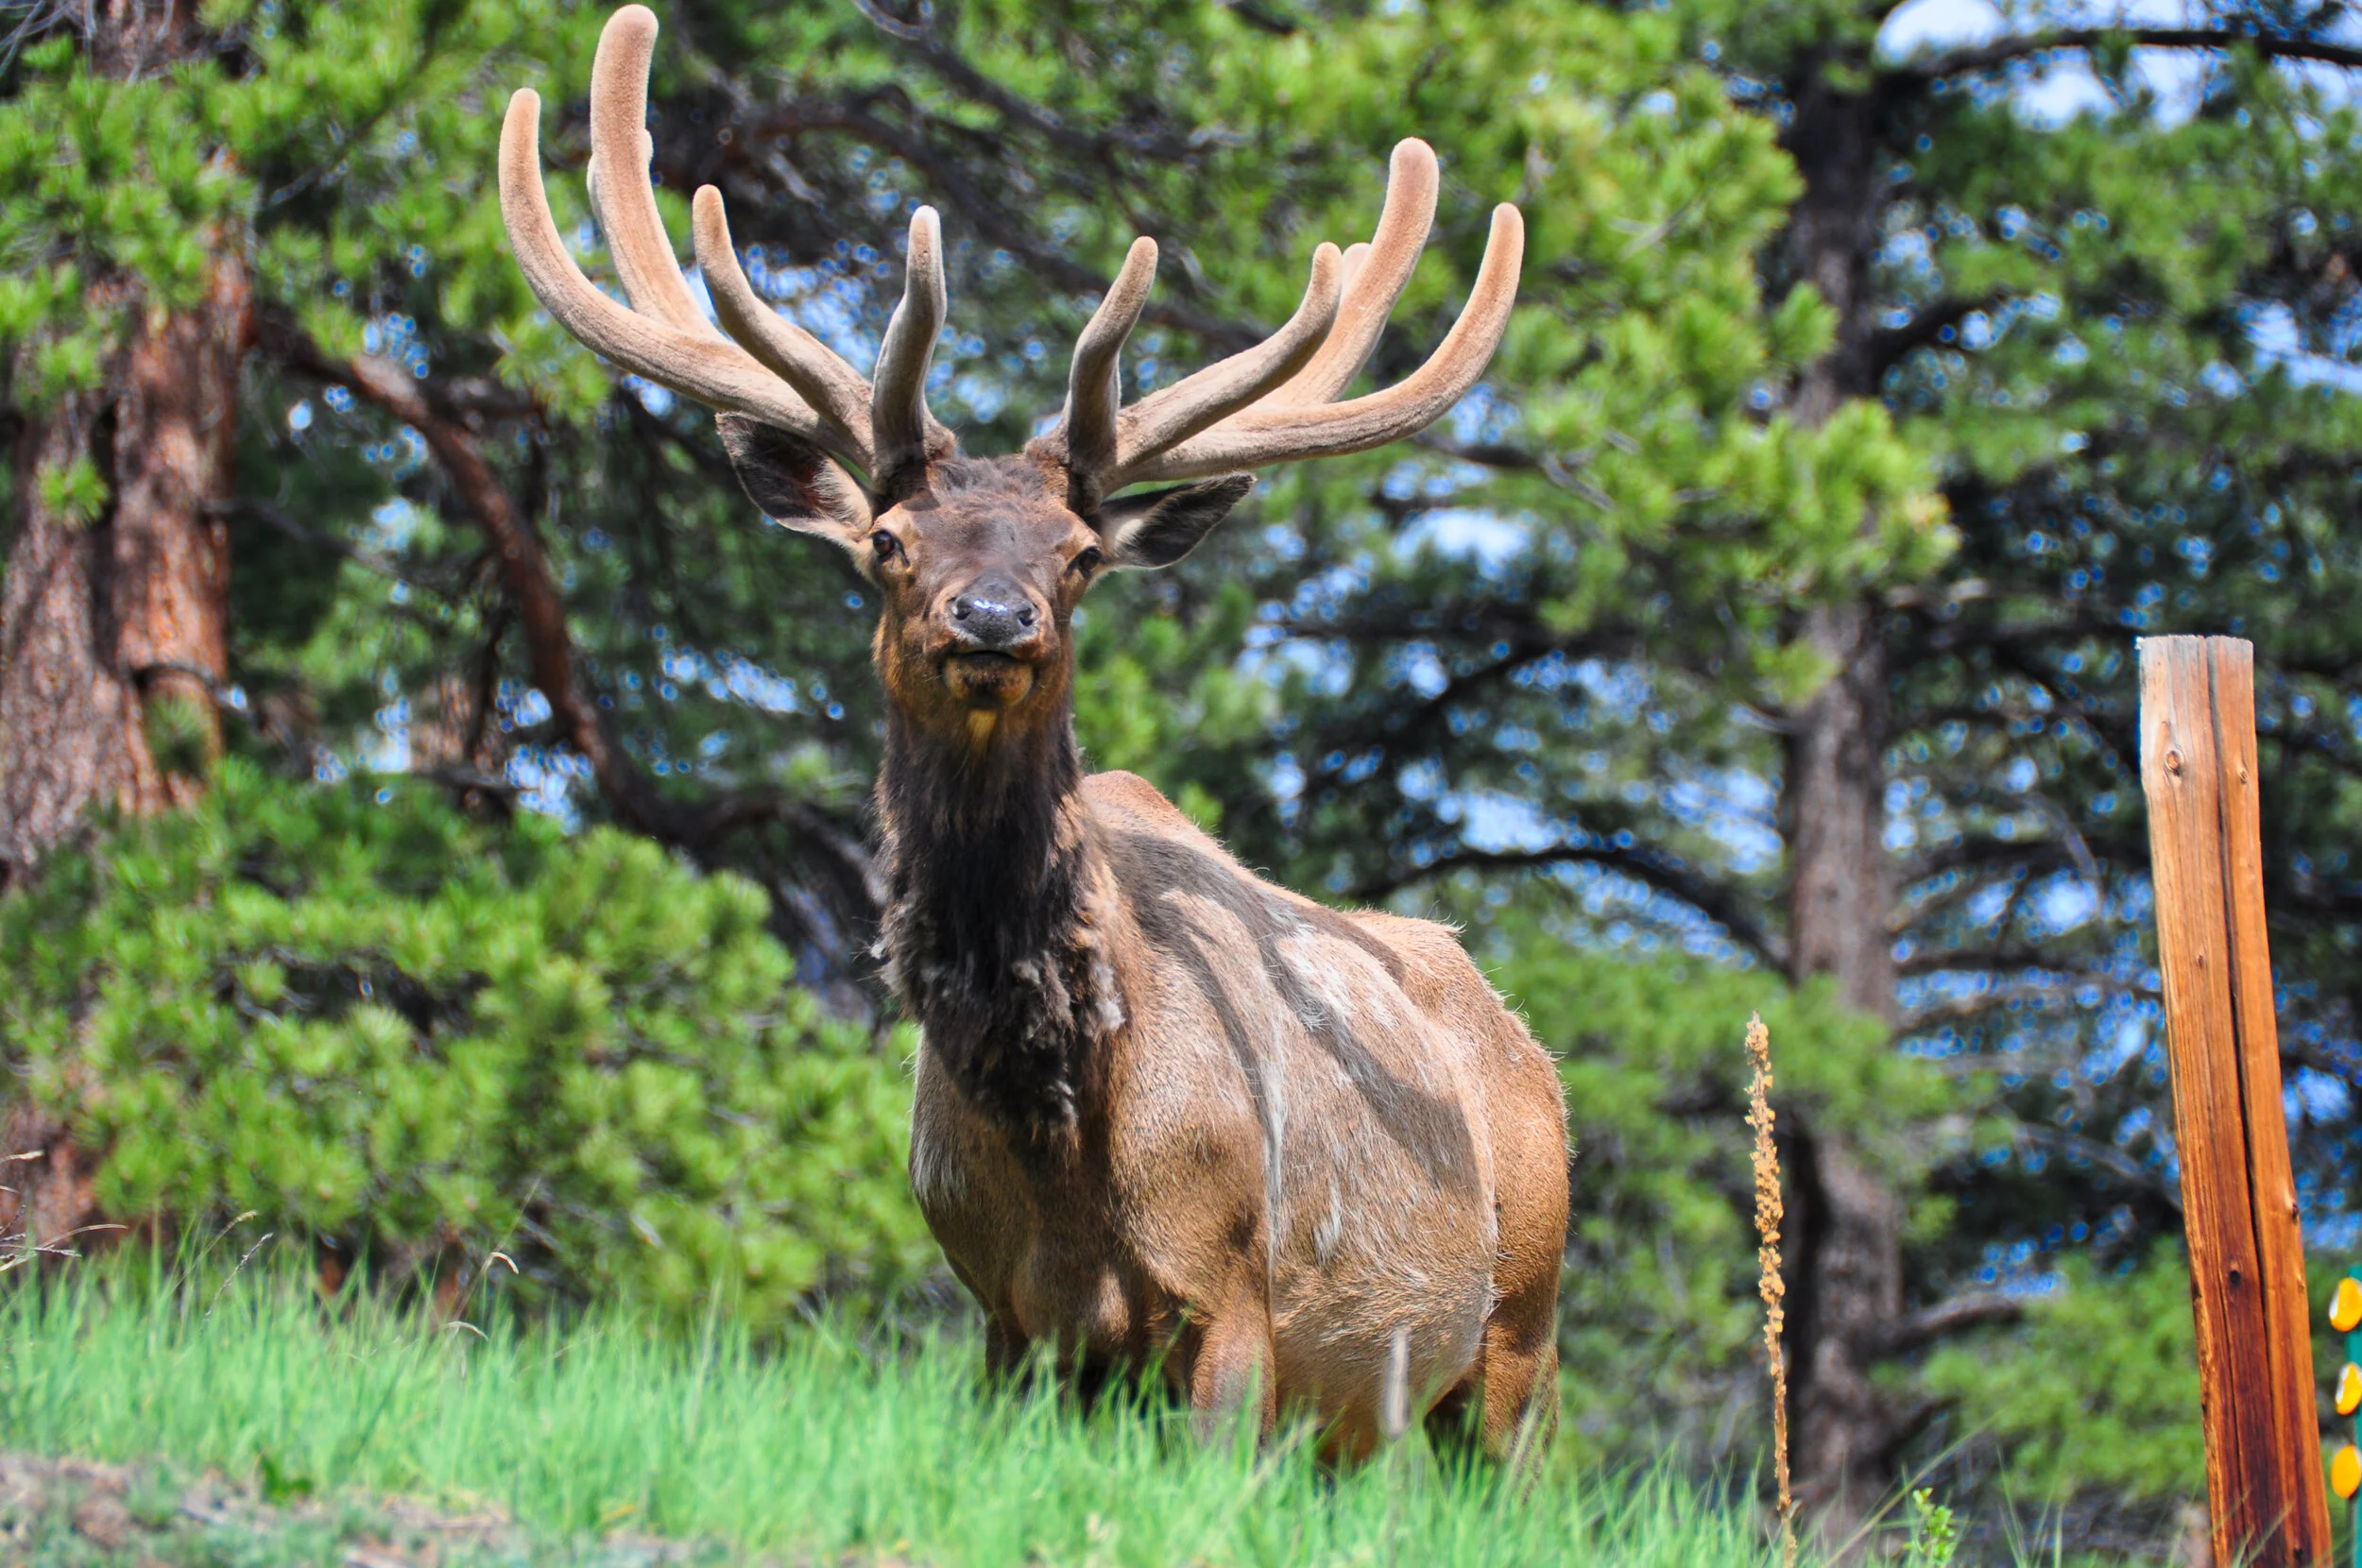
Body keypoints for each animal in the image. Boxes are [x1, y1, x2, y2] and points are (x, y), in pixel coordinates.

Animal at [499, 5, 1569, 1462]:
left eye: (1077, 553)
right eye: (889, 541)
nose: (995, 618)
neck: (1064, 1146)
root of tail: (1531, 1053)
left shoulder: (1240, 1297)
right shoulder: (1002, 1311)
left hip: (1518, 1340)